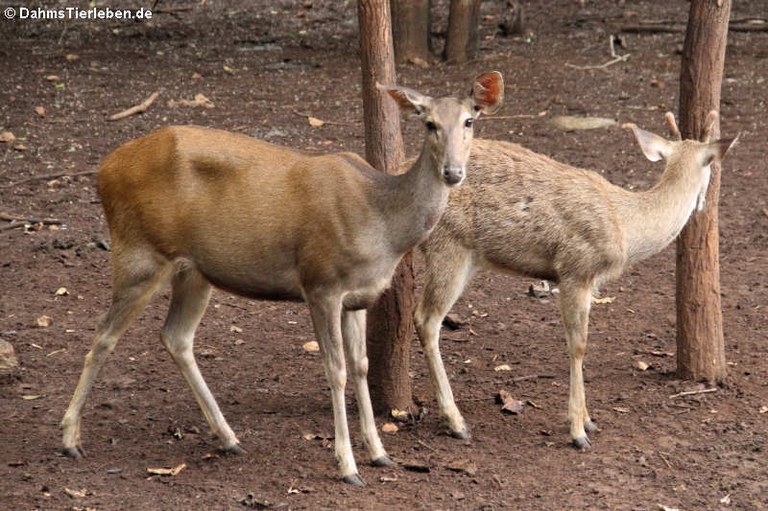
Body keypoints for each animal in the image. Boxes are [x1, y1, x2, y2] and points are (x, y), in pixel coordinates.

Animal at [60, 71, 504, 484]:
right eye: (428, 123)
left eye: (470, 120)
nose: (452, 172)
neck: (382, 227)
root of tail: (104, 169)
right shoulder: (321, 281)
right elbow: (336, 369)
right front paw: (347, 465)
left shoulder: (359, 296)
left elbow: (360, 365)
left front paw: (379, 453)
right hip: (139, 252)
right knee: (103, 335)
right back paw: (69, 438)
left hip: (194, 270)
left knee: (176, 336)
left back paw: (229, 437)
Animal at [414, 113, 736, 452]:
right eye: (712, 168)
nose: (703, 203)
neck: (627, 228)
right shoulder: (575, 269)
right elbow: (578, 345)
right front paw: (578, 430)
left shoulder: (589, 281)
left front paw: (589, 420)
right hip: (448, 245)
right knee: (426, 319)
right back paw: (456, 422)